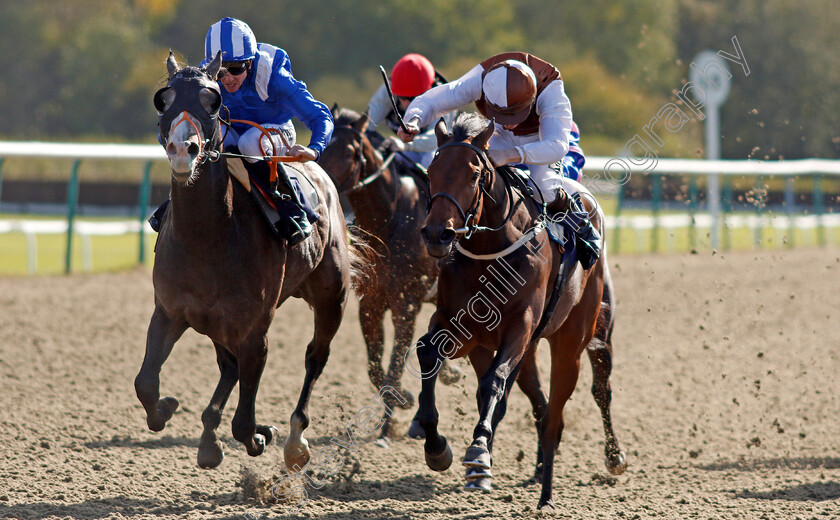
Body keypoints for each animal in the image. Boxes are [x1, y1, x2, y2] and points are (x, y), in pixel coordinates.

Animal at [133, 51, 356, 472]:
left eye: (213, 101)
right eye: (163, 100)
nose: (182, 150)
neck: (208, 239)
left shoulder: (255, 331)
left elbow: (243, 421)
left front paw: (259, 434)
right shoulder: (169, 312)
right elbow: (146, 384)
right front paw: (168, 407)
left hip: (331, 295)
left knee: (315, 356)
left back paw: (294, 439)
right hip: (217, 323)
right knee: (229, 367)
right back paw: (208, 436)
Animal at [316, 106, 460, 438]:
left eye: (351, 152)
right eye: (324, 143)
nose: (324, 182)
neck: (390, 219)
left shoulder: (405, 304)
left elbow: (395, 362)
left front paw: (387, 425)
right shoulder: (370, 302)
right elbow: (374, 364)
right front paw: (400, 402)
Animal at [414, 114, 624, 508]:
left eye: (474, 175)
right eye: (431, 171)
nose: (437, 234)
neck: (490, 252)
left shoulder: (520, 325)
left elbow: (494, 383)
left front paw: (479, 453)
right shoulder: (461, 326)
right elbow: (427, 352)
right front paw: (437, 445)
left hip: (577, 339)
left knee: (577, 402)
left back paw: (572, 481)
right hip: (527, 351)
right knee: (541, 405)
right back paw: (537, 469)